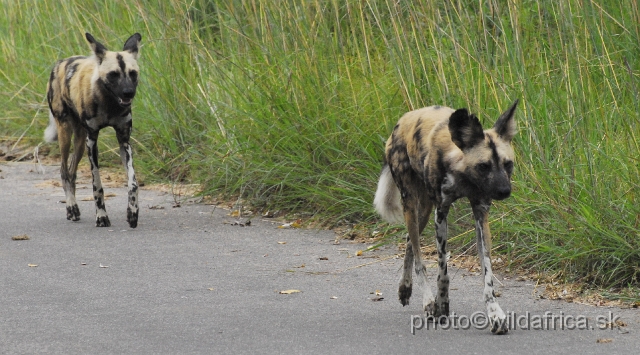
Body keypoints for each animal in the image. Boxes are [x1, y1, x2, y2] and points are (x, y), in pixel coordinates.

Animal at [45, 32, 144, 228]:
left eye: (133, 73)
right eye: (113, 75)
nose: (128, 92)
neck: (110, 104)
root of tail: (60, 63)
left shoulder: (123, 141)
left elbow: (133, 183)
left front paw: (132, 213)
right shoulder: (92, 141)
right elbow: (97, 184)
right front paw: (102, 216)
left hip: (80, 141)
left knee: (72, 172)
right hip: (66, 134)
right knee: (64, 172)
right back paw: (72, 208)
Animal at [372, 99, 516, 334]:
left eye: (508, 164)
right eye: (483, 166)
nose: (504, 191)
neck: (463, 175)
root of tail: (403, 120)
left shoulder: (481, 212)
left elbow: (487, 274)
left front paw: (495, 314)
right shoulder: (441, 213)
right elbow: (443, 270)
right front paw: (441, 304)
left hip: (423, 211)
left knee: (409, 242)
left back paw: (405, 289)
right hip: (411, 204)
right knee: (418, 257)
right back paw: (428, 301)